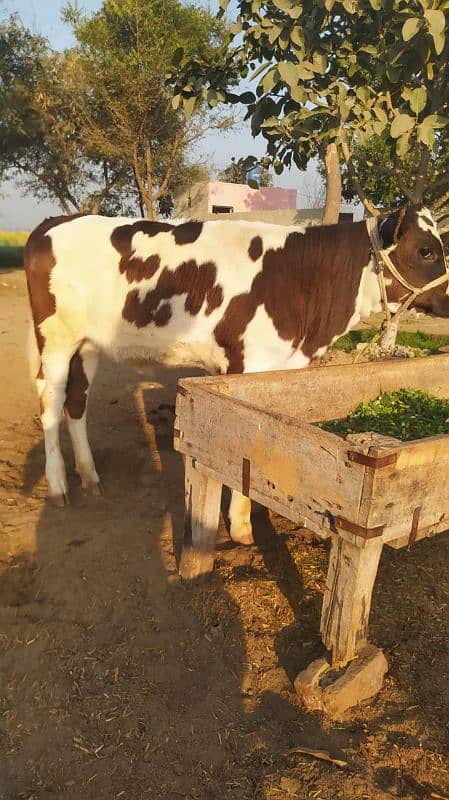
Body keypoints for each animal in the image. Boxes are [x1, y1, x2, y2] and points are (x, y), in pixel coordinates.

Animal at [23, 203, 448, 548]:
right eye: (426, 250)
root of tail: (53, 222)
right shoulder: (248, 365)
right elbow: (246, 446)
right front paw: (242, 525)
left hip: (87, 344)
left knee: (77, 401)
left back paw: (90, 476)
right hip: (55, 339)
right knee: (50, 403)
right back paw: (59, 486)